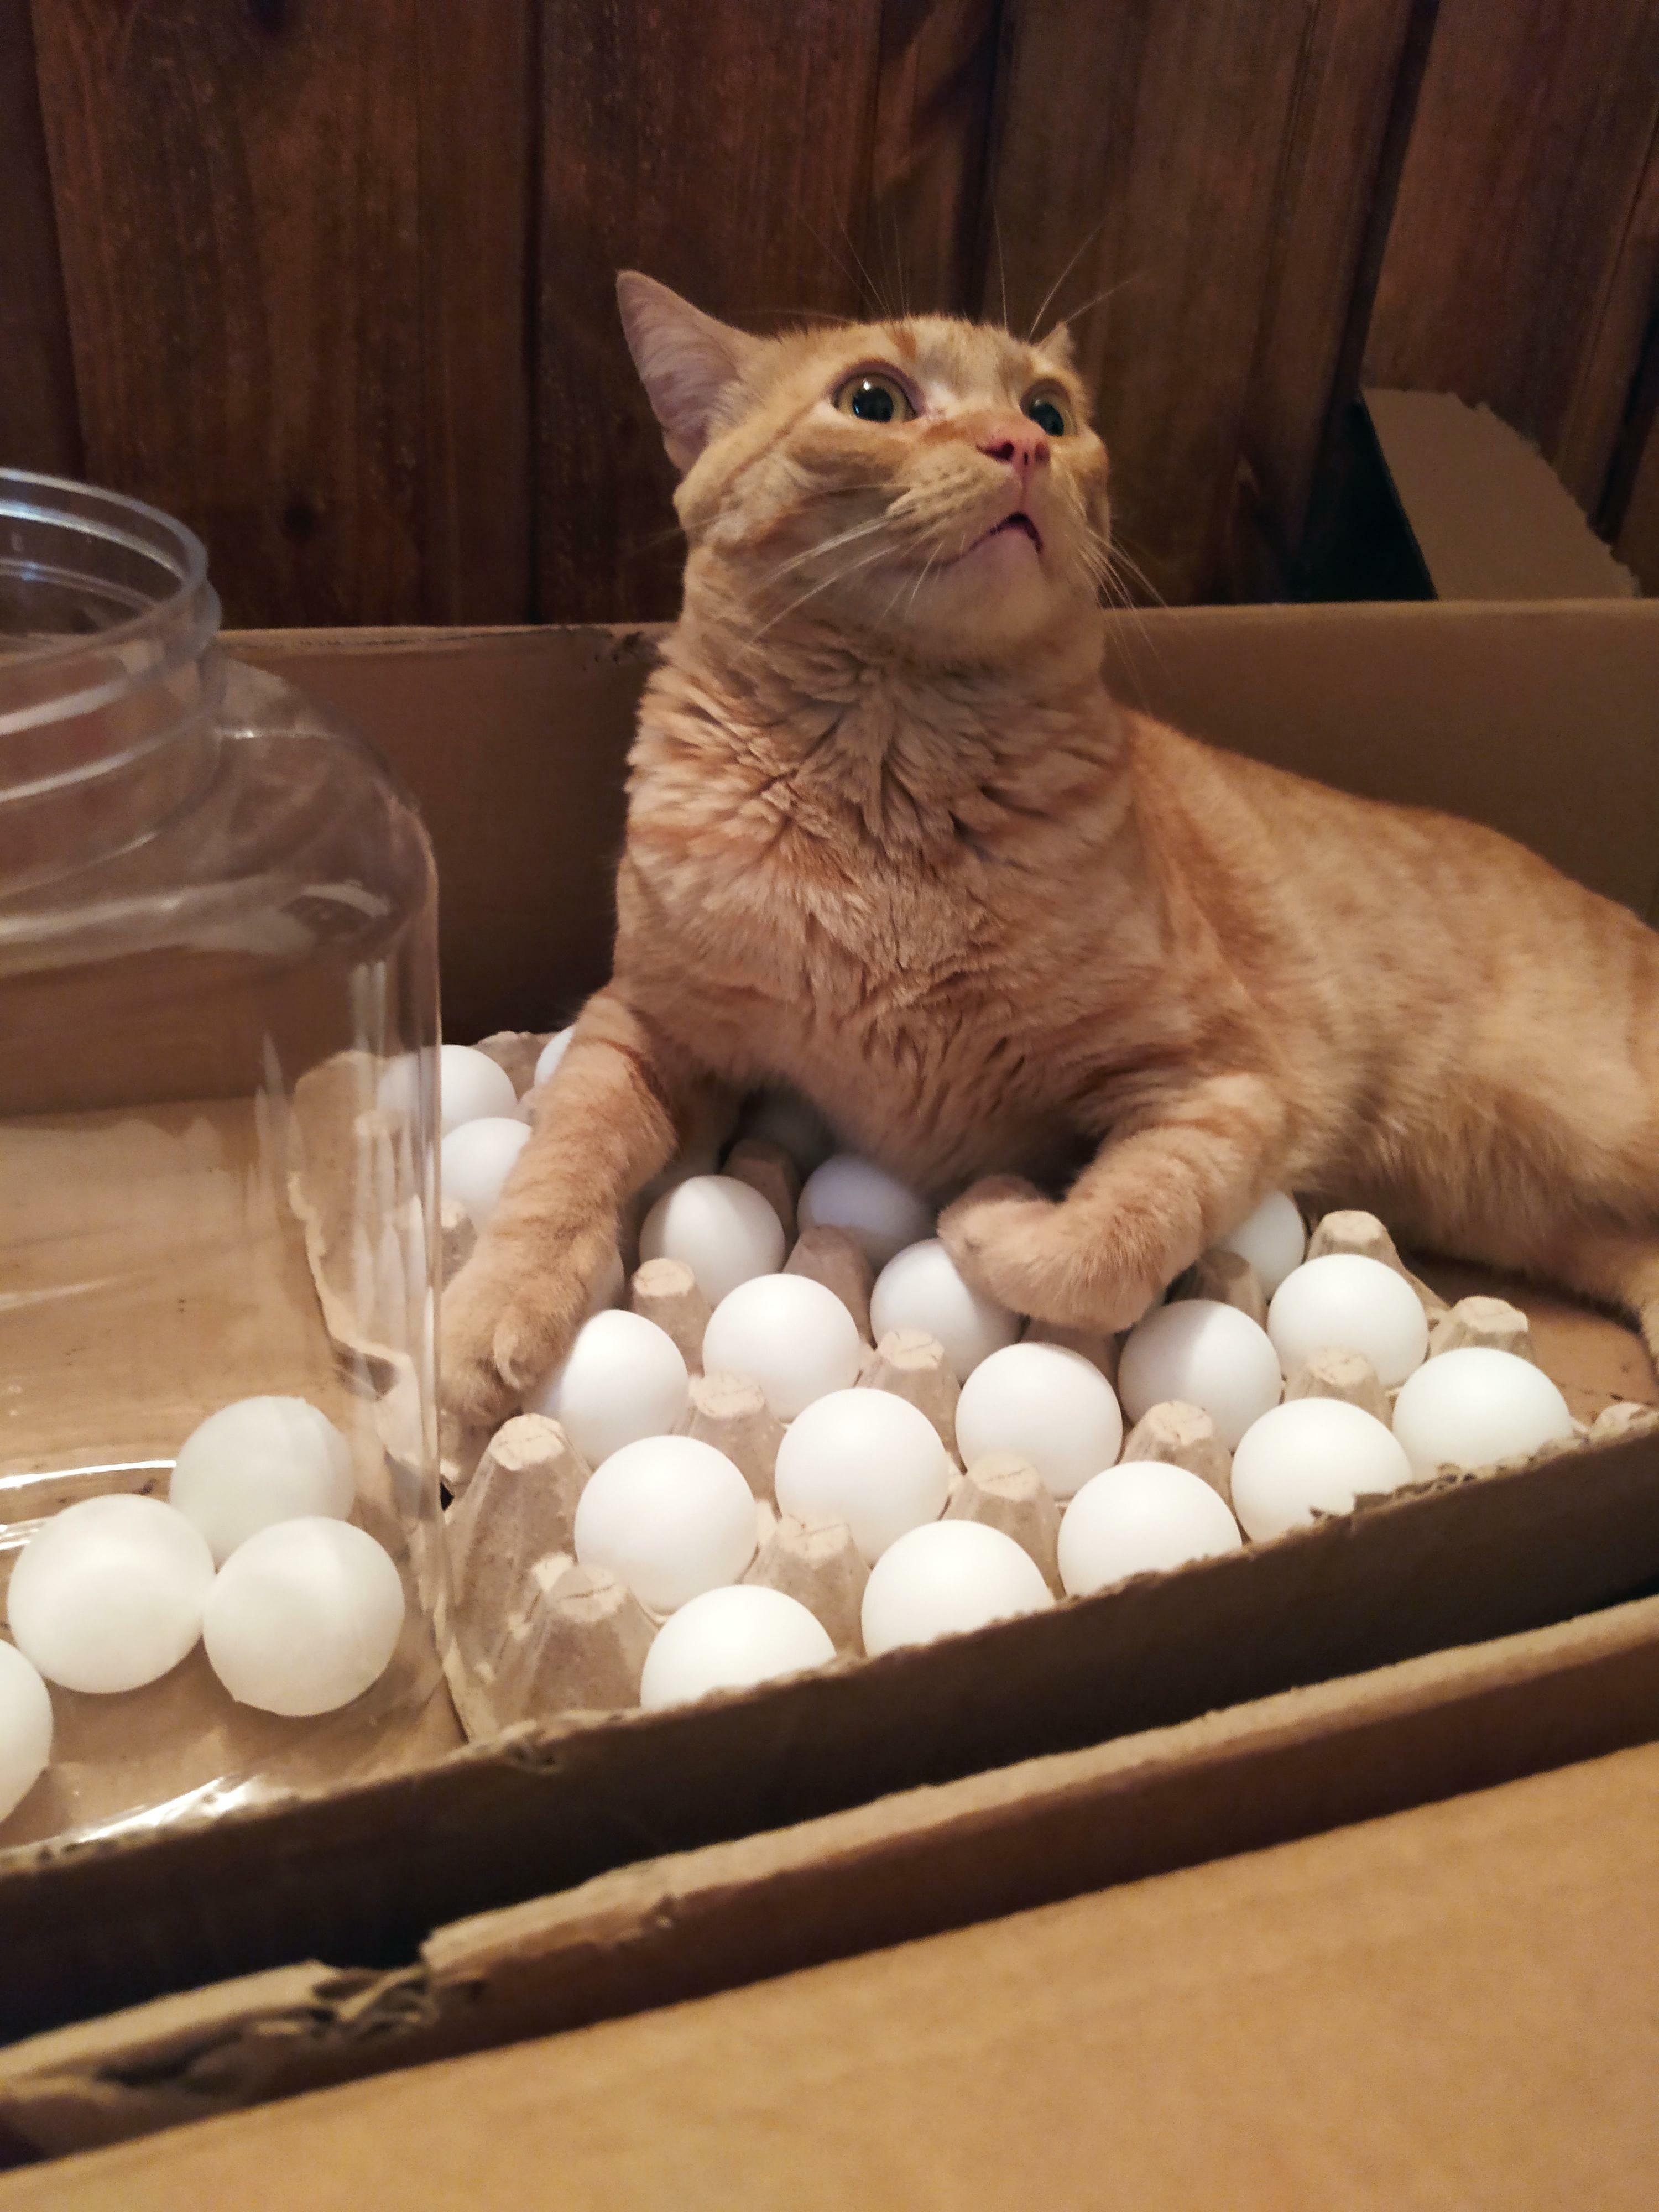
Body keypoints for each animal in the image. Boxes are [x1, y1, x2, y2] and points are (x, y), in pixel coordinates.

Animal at [438, 276, 1659, 1425]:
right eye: (874, 400)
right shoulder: (645, 1027)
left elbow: (1099, 1255)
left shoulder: (1225, 1084)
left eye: (1050, 410)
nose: (1019, 446)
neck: (891, 791)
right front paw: (484, 1316)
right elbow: (564, 1155)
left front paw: (993, 1216)